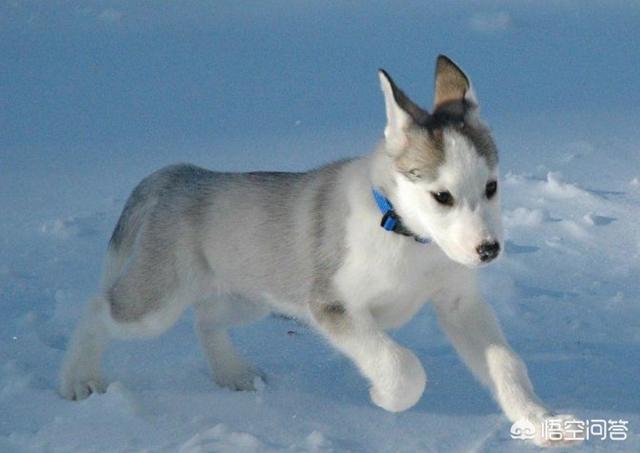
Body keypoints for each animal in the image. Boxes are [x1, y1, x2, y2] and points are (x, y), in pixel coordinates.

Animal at [61, 55, 580, 444]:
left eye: (491, 187)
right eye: (442, 196)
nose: (489, 250)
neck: (404, 235)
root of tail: (180, 174)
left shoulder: (459, 303)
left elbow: (506, 364)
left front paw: (541, 423)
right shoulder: (332, 306)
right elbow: (401, 365)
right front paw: (385, 398)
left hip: (250, 295)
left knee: (205, 318)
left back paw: (233, 374)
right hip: (157, 303)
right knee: (97, 308)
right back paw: (78, 381)